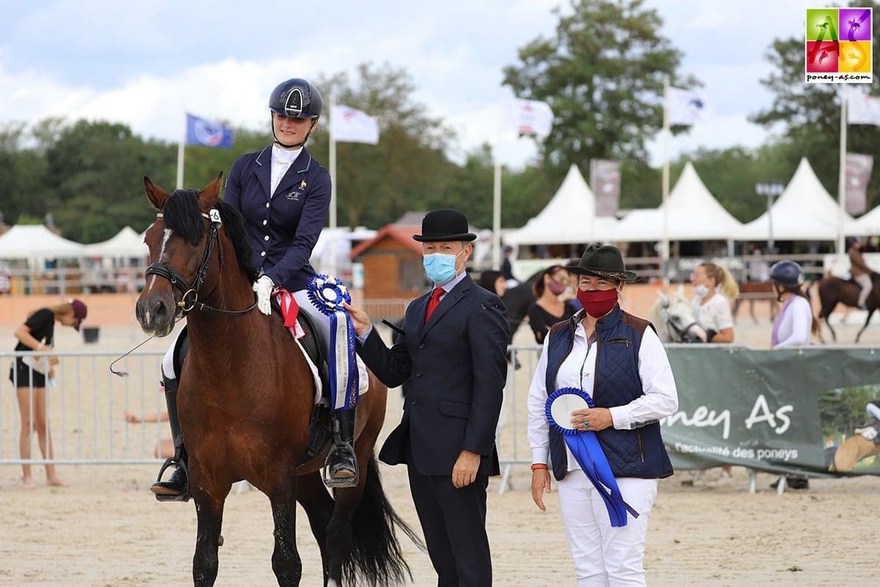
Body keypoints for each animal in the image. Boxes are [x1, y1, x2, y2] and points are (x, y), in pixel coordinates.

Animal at [134, 177, 420, 587]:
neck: (227, 365)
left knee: (337, 531)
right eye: (149, 238)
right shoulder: (208, 484)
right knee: (322, 523)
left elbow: (286, 563)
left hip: (357, 456)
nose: (151, 310)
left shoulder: (278, 479)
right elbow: (204, 563)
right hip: (304, 474)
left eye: (196, 239)